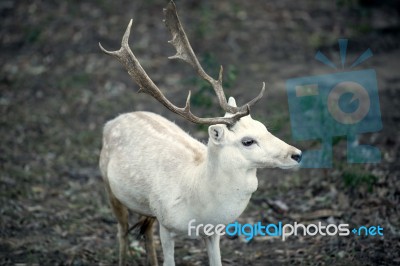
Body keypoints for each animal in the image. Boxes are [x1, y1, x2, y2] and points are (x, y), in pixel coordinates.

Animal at [98, 1, 302, 264]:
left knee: (145, 231)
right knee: (122, 231)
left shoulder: (213, 232)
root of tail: (113, 121)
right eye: (247, 141)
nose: (296, 154)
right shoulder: (167, 224)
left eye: (264, 128)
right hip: (109, 185)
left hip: (147, 208)